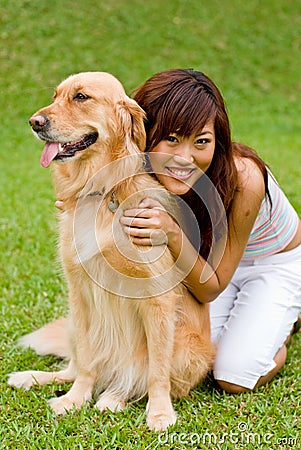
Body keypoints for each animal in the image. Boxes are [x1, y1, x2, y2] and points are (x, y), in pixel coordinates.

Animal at [7, 72, 213, 430]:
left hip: (188, 346)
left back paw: (113, 399)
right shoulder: (79, 292)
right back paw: (32, 378)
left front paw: (160, 412)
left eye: (81, 97)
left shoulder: (157, 297)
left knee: (132, 377)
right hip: (73, 323)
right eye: (56, 96)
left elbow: (156, 371)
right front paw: (75, 399)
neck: (101, 190)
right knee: (74, 368)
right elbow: (87, 362)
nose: (35, 122)